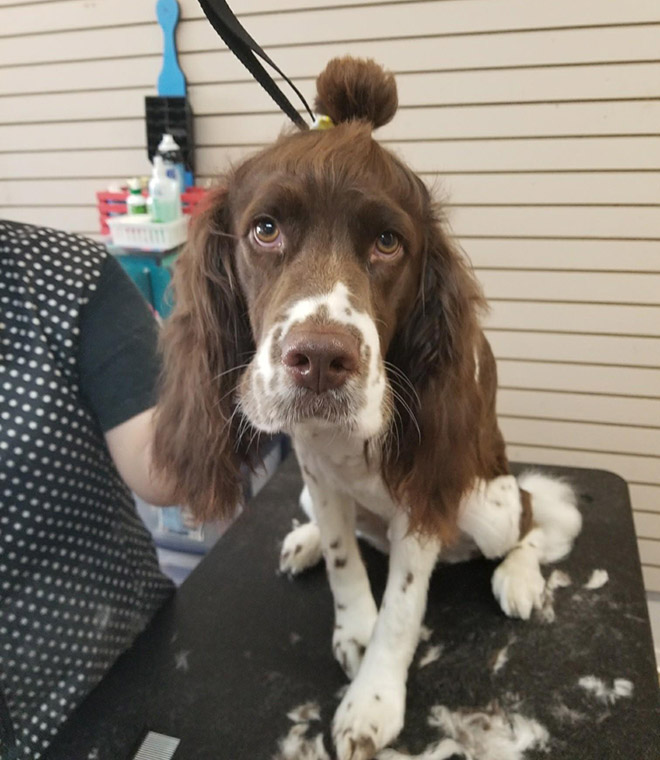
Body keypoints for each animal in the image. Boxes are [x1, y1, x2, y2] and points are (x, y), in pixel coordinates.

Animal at [152, 56, 580, 756]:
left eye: (387, 242)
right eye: (265, 229)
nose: (321, 360)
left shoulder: (423, 493)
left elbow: (403, 607)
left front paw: (373, 699)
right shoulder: (316, 472)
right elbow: (341, 555)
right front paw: (353, 627)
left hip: (483, 500)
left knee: (529, 518)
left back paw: (519, 577)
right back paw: (302, 541)